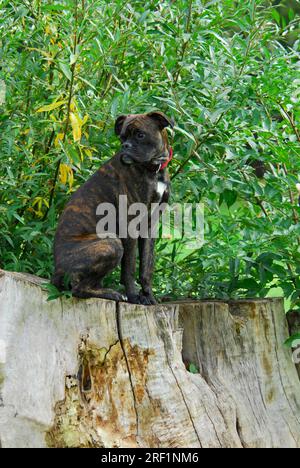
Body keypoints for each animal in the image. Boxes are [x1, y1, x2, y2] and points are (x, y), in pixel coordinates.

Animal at [51, 111, 173, 306]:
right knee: (78, 289)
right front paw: (134, 296)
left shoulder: (149, 227)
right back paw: (112, 293)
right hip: (111, 244)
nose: (125, 146)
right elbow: (129, 268)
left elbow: (146, 267)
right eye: (122, 137)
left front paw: (148, 296)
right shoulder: (130, 227)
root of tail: (57, 270)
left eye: (140, 135)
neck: (153, 170)